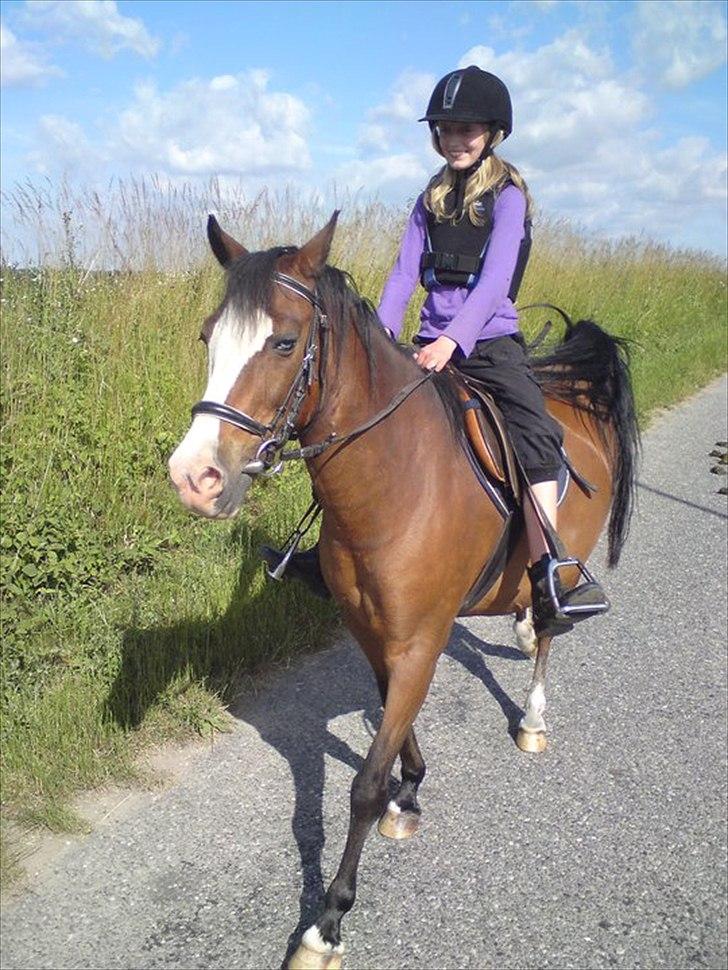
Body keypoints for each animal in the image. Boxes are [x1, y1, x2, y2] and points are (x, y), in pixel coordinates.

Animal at [168, 212, 638, 969]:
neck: (397, 482)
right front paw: (409, 791)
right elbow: (393, 722)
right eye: (211, 337)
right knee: (529, 621)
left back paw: (534, 714)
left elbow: (362, 784)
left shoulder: (420, 639)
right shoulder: (375, 633)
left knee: (550, 628)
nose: (195, 478)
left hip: (568, 568)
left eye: (283, 341)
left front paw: (326, 922)